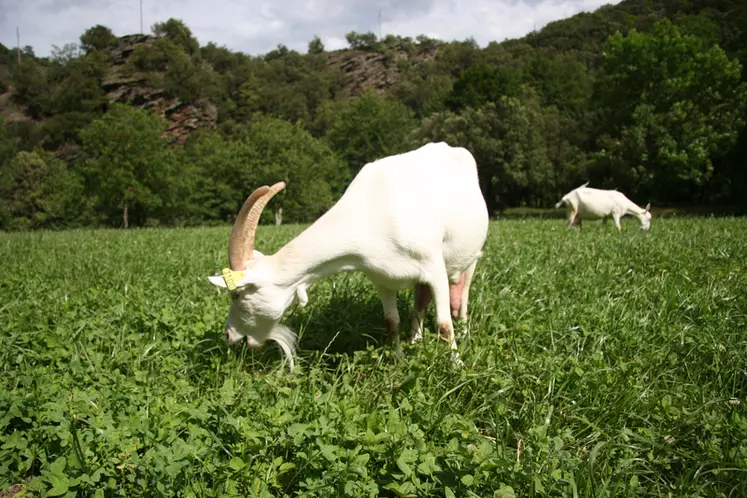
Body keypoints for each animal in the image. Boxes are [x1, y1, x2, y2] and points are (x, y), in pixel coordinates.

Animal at [210, 142, 490, 372]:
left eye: (237, 294)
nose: (229, 335)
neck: (371, 216)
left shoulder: (434, 268)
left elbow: (444, 326)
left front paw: (456, 366)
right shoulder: (382, 278)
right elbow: (392, 322)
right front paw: (399, 361)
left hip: (471, 257)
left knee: (462, 296)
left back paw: (464, 331)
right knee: (420, 301)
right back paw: (416, 340)